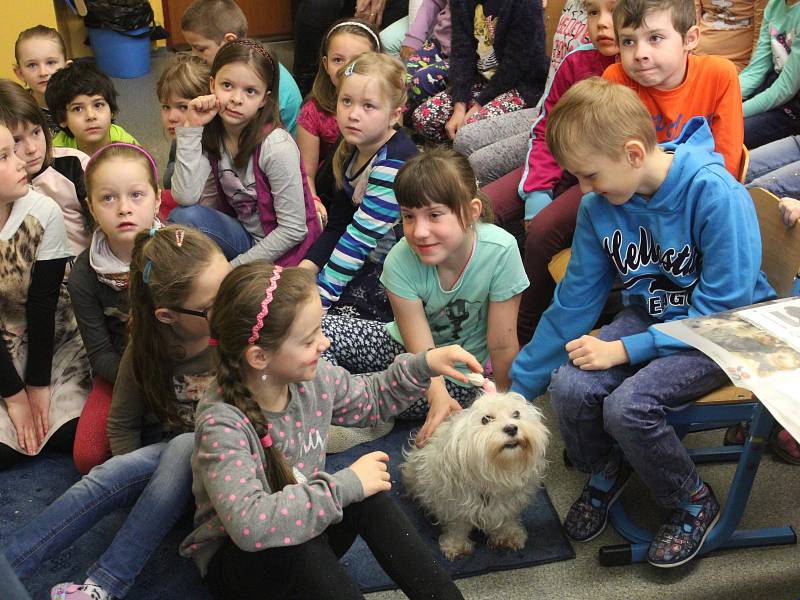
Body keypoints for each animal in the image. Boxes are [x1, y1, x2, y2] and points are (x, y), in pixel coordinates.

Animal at [400, 392, 552, 560]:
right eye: (486, 419)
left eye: (516, 414)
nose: (511, 428)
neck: (498, 470)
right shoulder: (453, 505)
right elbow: (457, 527)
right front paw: (456, 545)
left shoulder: (509, 503)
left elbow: (507, 518)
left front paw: (509, 534)